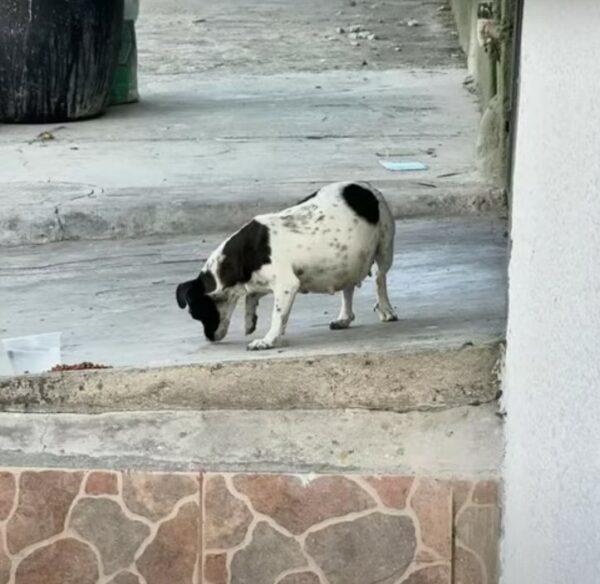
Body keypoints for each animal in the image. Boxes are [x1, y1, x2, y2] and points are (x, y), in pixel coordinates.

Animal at [176, 180, 396, 350]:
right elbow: (252, 297)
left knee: (380, 279)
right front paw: (250, 319)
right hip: (348, 263)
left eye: (196, 313)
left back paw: (386, 309)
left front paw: (267, 340)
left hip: (384, 250)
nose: (209, 338)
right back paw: (344, 317)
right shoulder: (261, 283)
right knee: (348, 289)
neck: (241, 256)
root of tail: (367, 187)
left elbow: (276, 315)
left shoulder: (286, 285)